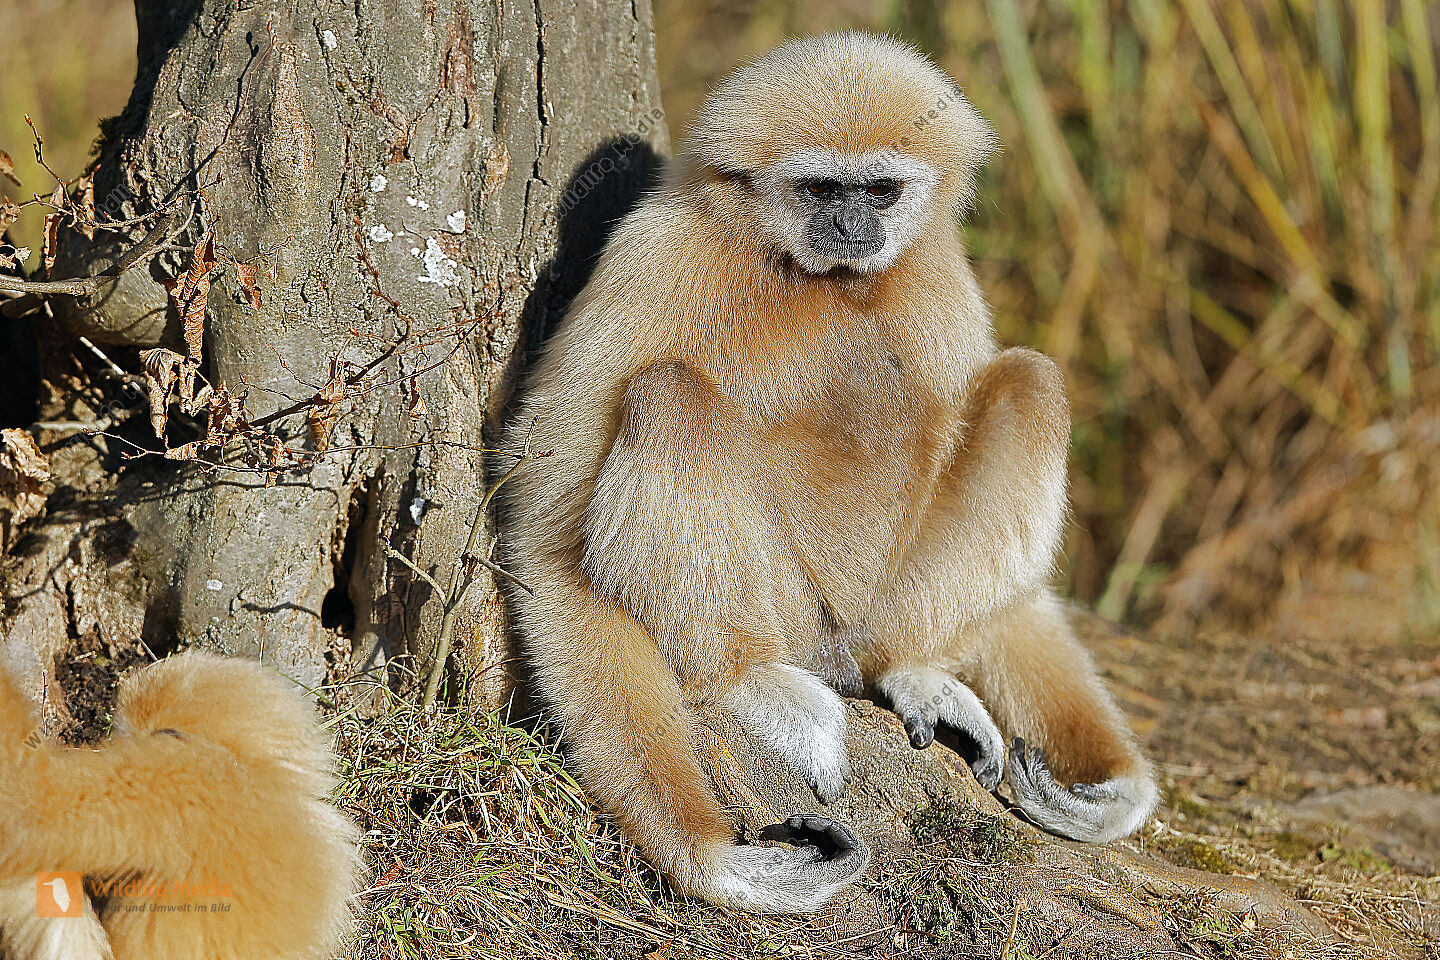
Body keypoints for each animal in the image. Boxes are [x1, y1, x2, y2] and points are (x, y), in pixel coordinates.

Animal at [499, 32, 1157, 914]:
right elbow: (547, 533)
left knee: (1031, 385)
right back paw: (750, 681)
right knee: (671, 395)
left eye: (880, 190)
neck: (820, 280)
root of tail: (840, 646)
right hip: (794, 609)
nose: (851, 221)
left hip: (883, 606)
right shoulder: (657, 255)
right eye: (821, 187)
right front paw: (715, 862)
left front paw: (1114, 789)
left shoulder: (941, 265)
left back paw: (912, 668)